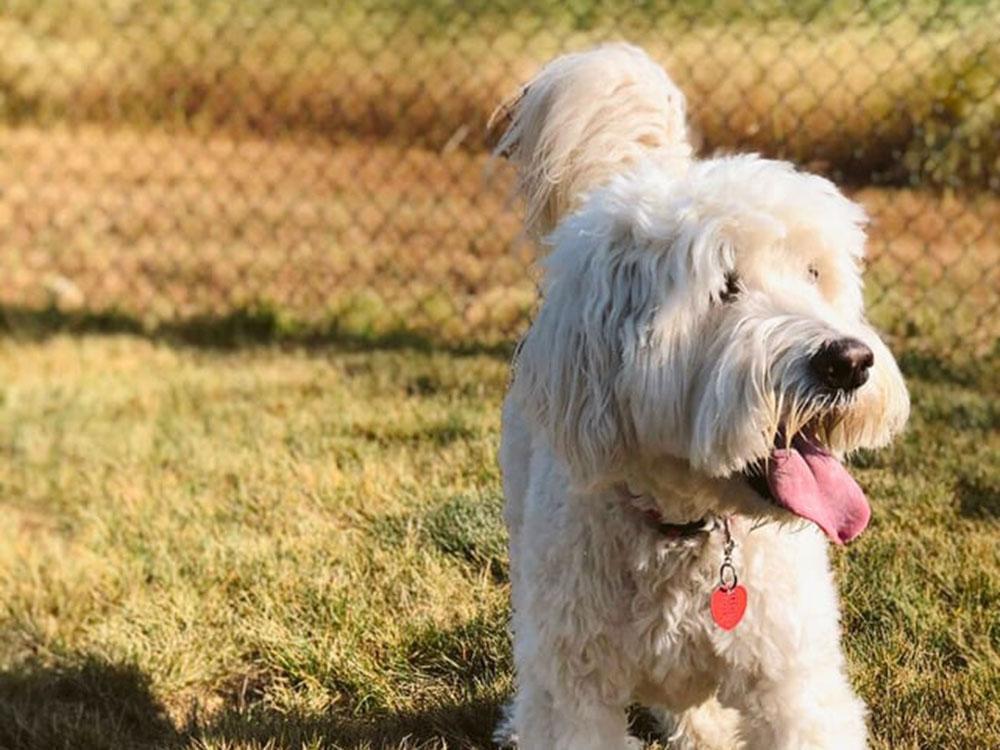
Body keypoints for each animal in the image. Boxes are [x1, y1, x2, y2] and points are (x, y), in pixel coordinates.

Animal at [488, 45, 912, 750]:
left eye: (813, 273)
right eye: (724, 286)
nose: (848, 362)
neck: (688, 532)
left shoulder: (794, 683)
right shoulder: (574, 691)